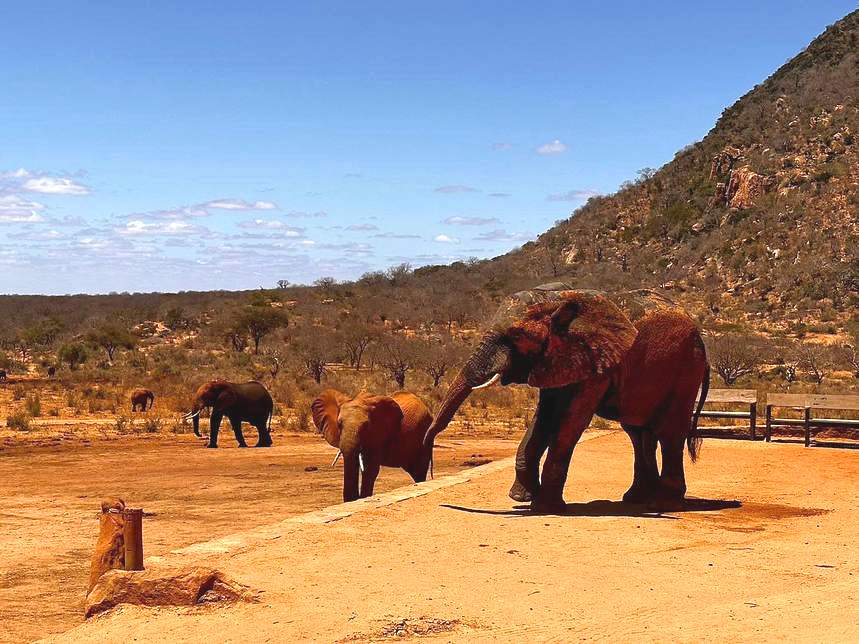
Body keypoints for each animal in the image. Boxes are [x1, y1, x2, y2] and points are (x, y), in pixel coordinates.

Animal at [424, 283, 710, 512]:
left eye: (515, 336)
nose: (429, 467)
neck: (557, 301)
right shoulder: (556, 360)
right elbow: (543, 418)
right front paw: (522, 498)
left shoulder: (596, 364)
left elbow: (570, 422)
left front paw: (544, 507)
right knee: (638, 432)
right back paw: (636, 498)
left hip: (686, 369)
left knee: (668, 431)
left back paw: (664, 502)